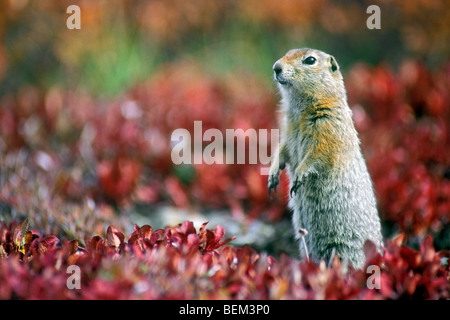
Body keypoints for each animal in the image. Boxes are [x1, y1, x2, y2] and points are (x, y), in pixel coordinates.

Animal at [268, 47, 382, 268]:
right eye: (287, 53)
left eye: (310, 60)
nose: (276, 67)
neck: (300, 110)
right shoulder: (287, 130)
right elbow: (282, 150)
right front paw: (272, 175)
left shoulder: (328, 127)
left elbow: (318, 154)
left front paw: (299, 176)